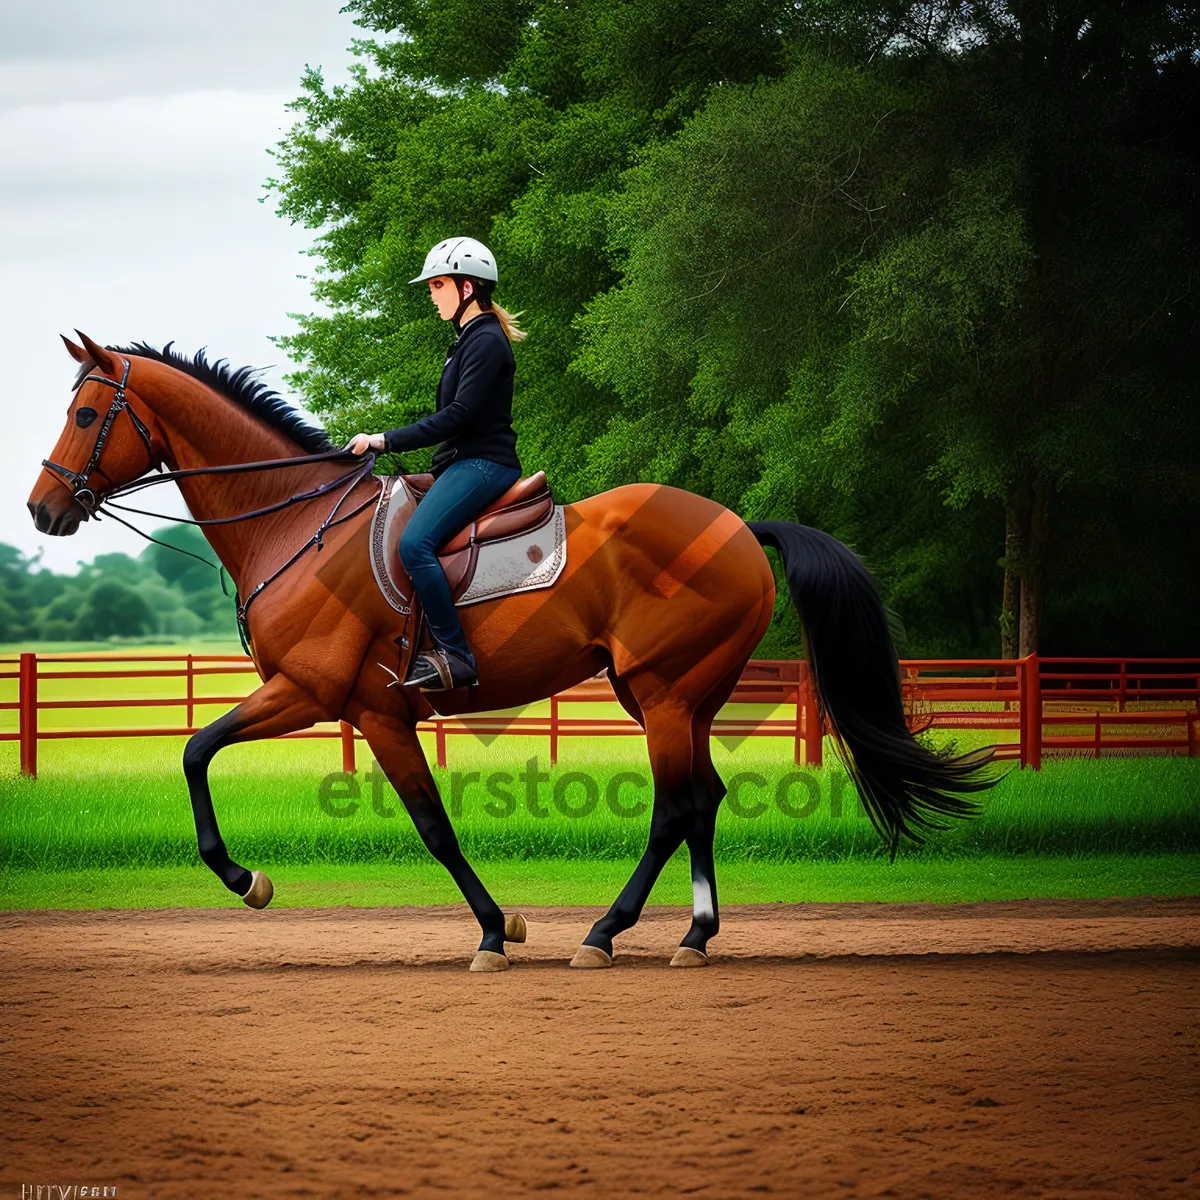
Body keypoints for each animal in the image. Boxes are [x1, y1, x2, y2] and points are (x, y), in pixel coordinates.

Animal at [25, 333, 1003, 969]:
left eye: (87, 411)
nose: (40, 509)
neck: (296, 525)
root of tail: (733, 525)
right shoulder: (338, 704)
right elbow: (203, 752)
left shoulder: (339, 699)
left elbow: (417, 821)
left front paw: (489, 931)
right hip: (673, 693)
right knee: (704, 802)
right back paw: (693, 935)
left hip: (664, 692)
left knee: (676, 807)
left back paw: (608, 934)